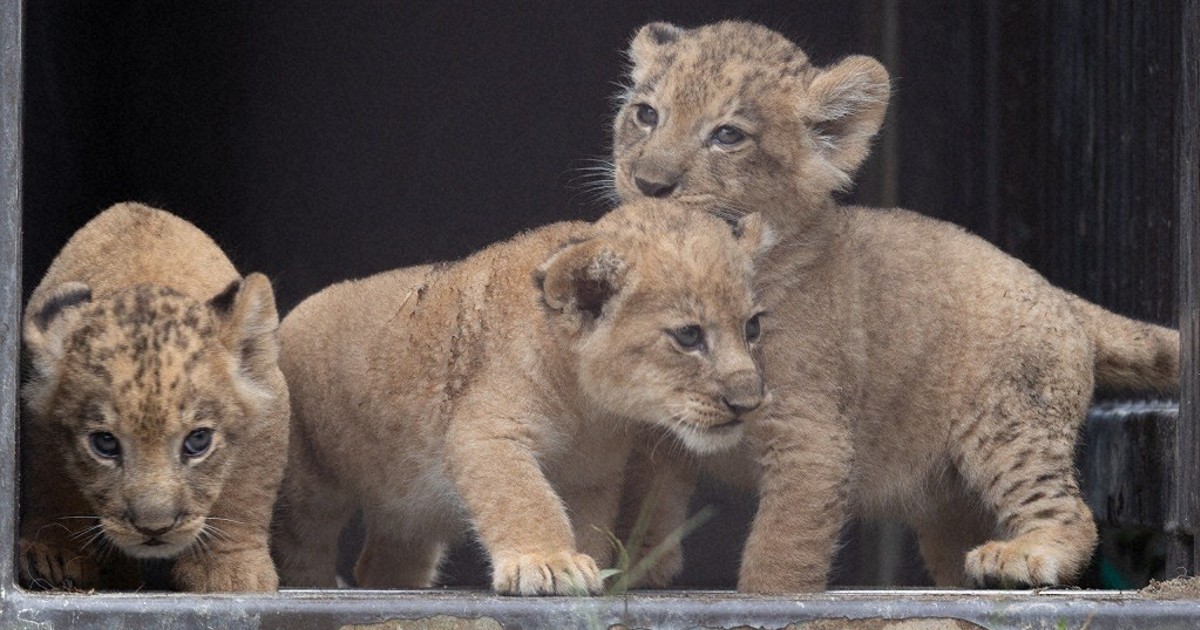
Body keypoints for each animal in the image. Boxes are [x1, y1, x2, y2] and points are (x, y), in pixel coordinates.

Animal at [20, 202, 289, 592]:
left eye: (198, 441)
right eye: (105, 443)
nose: (154, 528)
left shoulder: (269, 399)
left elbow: (246, 491)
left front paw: (229, 570)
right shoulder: (39, 417)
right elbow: (50, 484)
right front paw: (53, 554)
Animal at [269, 198, 770, 595]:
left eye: (752, 327)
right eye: (688, 336)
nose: (748, 403)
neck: (588, 407)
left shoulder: (593, 473)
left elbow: (589, 523)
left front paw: (590, 571)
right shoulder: (486, 435)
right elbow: (526, 499)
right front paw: (550, 563)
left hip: (409, 508)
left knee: (381, 561)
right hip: (308, 486)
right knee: (301, 547)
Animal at [608, 21, 1179, 592]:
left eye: (728, 135)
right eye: (647, 114)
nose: (649, 184)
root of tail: (1063, 295)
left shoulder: (812, 435)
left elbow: (784, 547)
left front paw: (765, 597)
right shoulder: (656, 418)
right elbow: (643, 500)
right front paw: (634, 571)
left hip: (1010, 422)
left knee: (1068, 511)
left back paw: (1023, 557)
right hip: (952, 505)